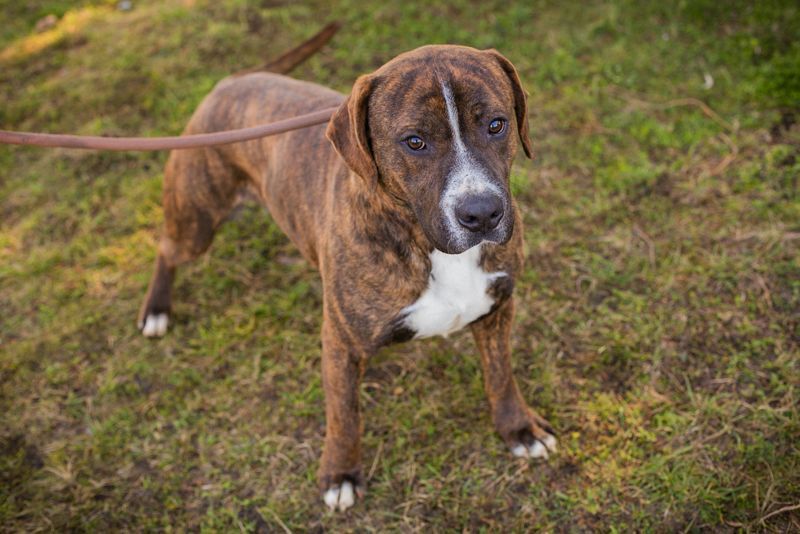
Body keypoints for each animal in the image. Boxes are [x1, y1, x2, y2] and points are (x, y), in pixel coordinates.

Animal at [138, 24, 557, 511]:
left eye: (496, 124)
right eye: (415, 141)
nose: (482, 213)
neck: (426, 244)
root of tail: (233, 81)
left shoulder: (497, 310)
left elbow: (501, 375)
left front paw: (518, 429)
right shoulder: (341, 343)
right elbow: (344, 413)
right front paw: (340, 472)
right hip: (196, 220)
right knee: (166, 248)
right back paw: (156, 310)